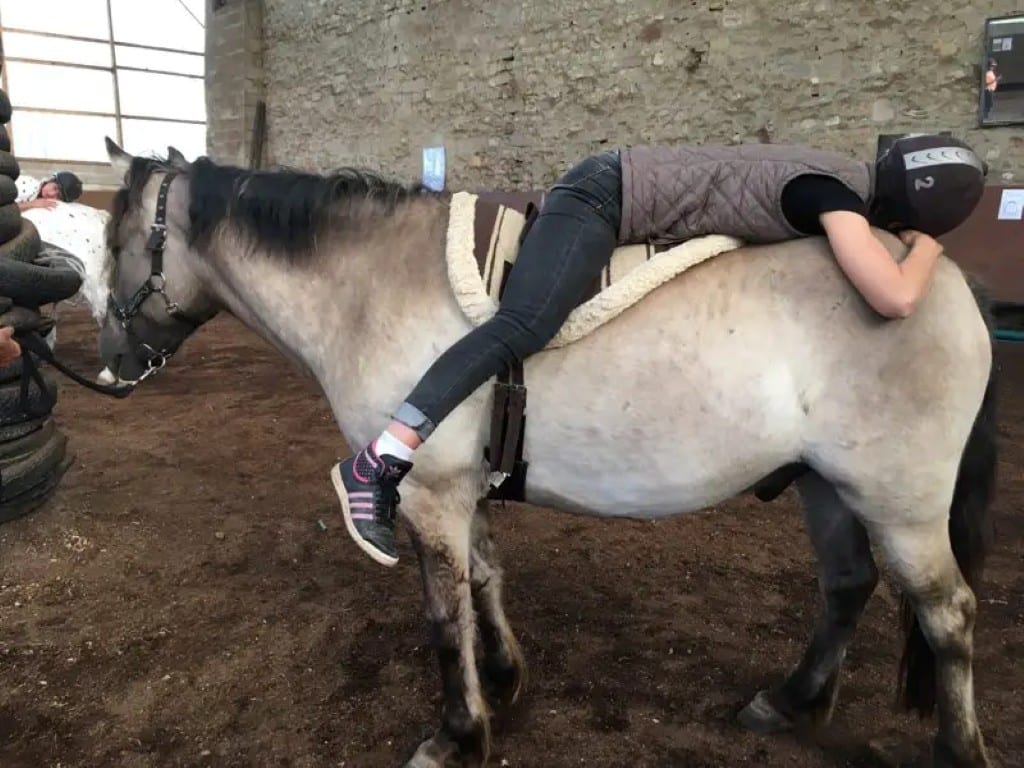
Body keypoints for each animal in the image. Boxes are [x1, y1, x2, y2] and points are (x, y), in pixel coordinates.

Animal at [96, 137, 997, 768]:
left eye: (112, 240)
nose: (112, 361)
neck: (369, 286)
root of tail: (945, 284)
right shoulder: (463, 490)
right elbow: (484, 578)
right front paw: (503, 679)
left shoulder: (428, 495)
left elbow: (443, 615)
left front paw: (459, 732)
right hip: (825, 486)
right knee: (847, 586)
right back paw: (789, 700)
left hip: (900, 502)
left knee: (947, 615)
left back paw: (954, 746)